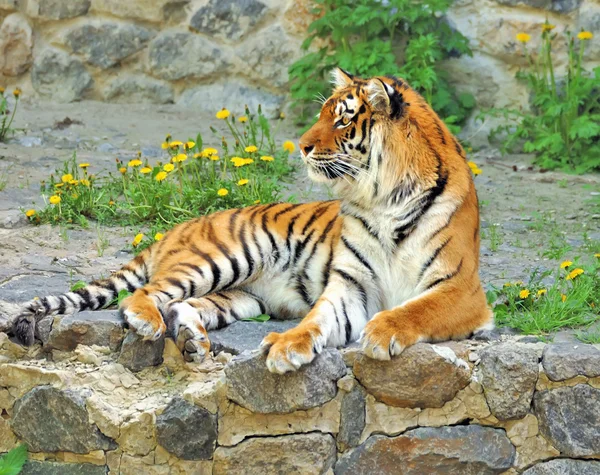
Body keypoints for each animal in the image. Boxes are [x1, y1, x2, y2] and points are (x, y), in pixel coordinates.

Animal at [12, 69, 492, 376]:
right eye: (322, 114)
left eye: (341, 119)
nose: (301, 145)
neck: (381, 197)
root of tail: (177, 229)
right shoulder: (351, 284)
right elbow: (316, 319)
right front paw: (287, 345)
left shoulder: (461, 290)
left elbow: (417, 308)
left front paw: (381, 331)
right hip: (224, 258)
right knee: (144, 295)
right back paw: (153, 324)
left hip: (240, 296)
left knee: (180, 305)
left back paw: (192, 341)